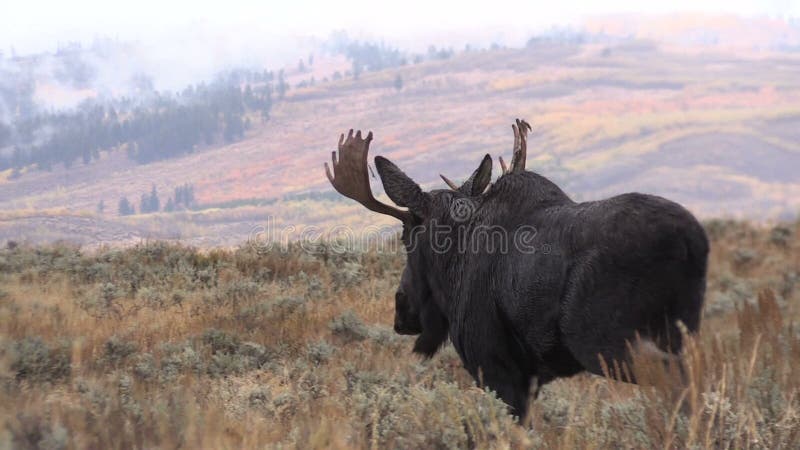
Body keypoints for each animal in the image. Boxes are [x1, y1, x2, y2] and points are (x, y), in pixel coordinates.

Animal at [322, 120, 708, 418]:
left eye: (406, 235)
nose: (401, 310)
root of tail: (692, 242)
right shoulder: (530, 375)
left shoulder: (494, 364)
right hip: (682, 328)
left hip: (610, 340)